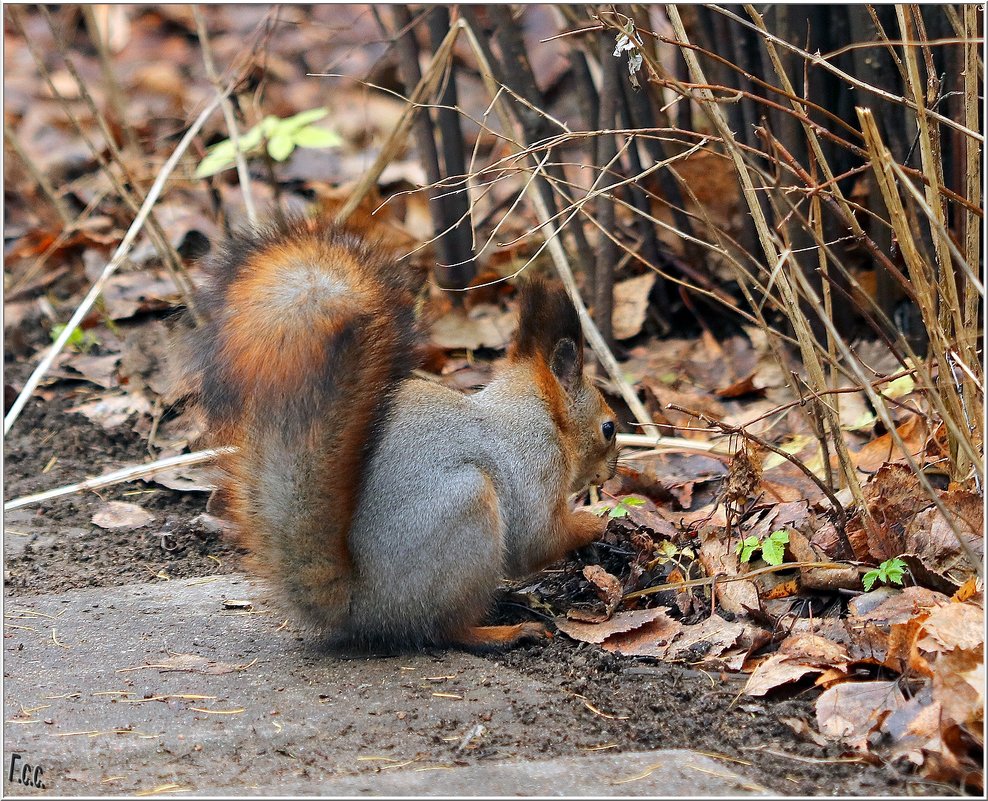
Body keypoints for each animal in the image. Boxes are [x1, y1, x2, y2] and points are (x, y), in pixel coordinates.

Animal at [174, 214, 612, 648]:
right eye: (608, 428)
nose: (611, 475)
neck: (537, 412)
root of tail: (364, 606)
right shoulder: (537, 462)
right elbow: (536, 539)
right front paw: (595, 521)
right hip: (467, 510)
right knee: (446, 628)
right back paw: (504, 631)